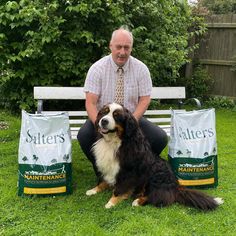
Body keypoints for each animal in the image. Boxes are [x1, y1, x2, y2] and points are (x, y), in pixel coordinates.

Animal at [85, 103, 223, 210]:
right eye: (104, 113)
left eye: (117, 116)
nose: (103, 121)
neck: (115, 141)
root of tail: (175, 186)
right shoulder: (108, 166)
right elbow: (102, 180)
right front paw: (94, 190)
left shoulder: (127, 171)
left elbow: (119, 189)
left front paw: (111, 202)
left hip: (155, 177)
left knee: (160, 197)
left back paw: (138, 201)